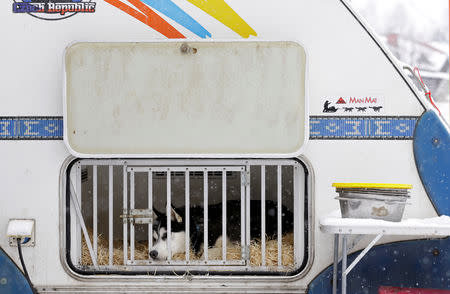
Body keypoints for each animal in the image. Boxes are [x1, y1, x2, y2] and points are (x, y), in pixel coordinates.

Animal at [149, 201, 294, 260]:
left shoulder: (237, 241)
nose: (152, 253)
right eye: (154, 238)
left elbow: (209, 252)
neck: (199, 228)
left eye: (166, 235)